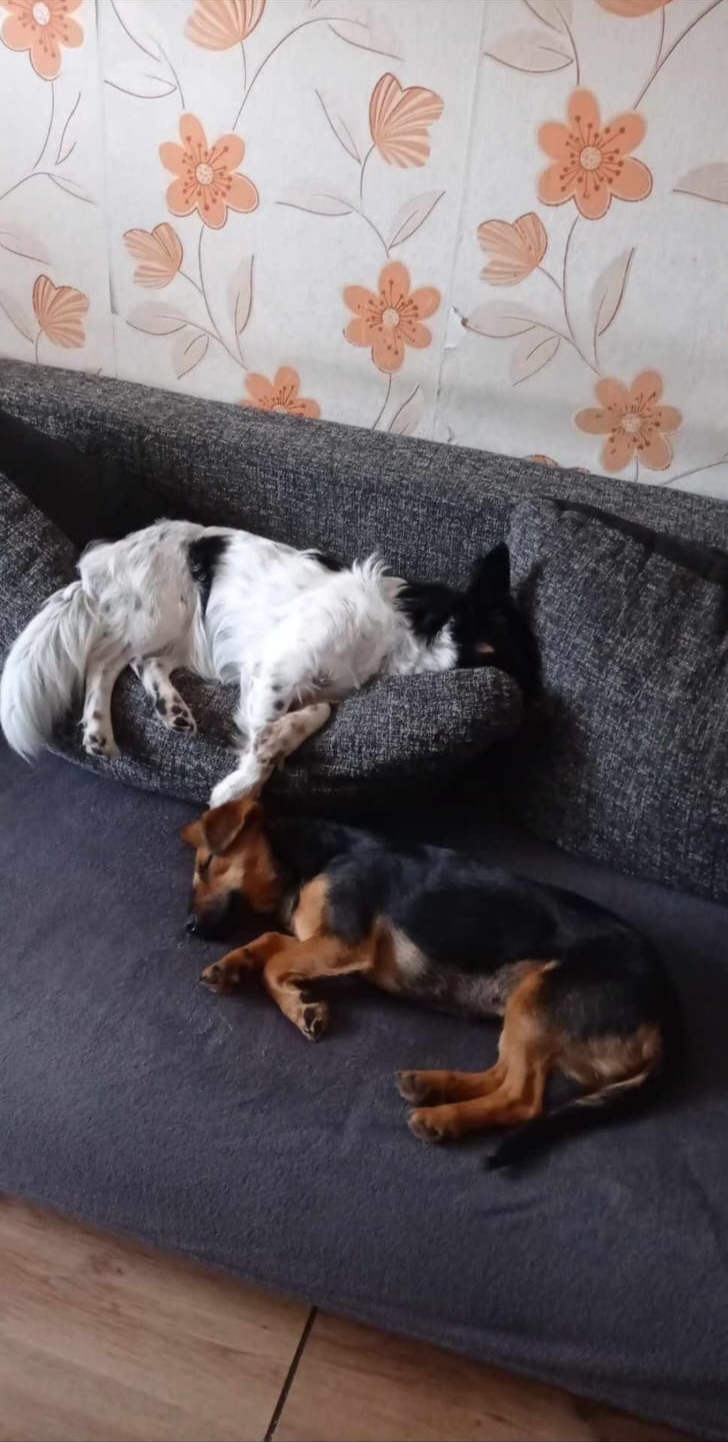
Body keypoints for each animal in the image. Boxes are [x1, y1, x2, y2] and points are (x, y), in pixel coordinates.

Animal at [0, 521, 537, 805]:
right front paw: (238, 788)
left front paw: (274, 745)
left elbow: (315, 714)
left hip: (181, 635)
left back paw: (170, 709)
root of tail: (103, 556)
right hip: (154, 614)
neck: (401, 630)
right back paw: (98, 728)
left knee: (143, 664)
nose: (539, 712)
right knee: (104, 661)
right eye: (515, 649)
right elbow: (262, 747)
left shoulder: (316, 686)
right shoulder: (274, 669)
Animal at [182, 795, 683, 1168]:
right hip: (525, 1009)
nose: (188, 928)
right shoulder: (319, 940)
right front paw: (237, 968)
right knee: (503, 1074)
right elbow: (269, 942)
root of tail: (667, 1017)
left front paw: (300, 1006)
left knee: (521, 1098)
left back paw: (443, 1118)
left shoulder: (345, 943)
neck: (314, 857)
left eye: (206, 865)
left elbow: (274, 962)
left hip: (540, 999)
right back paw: (431, 1085)